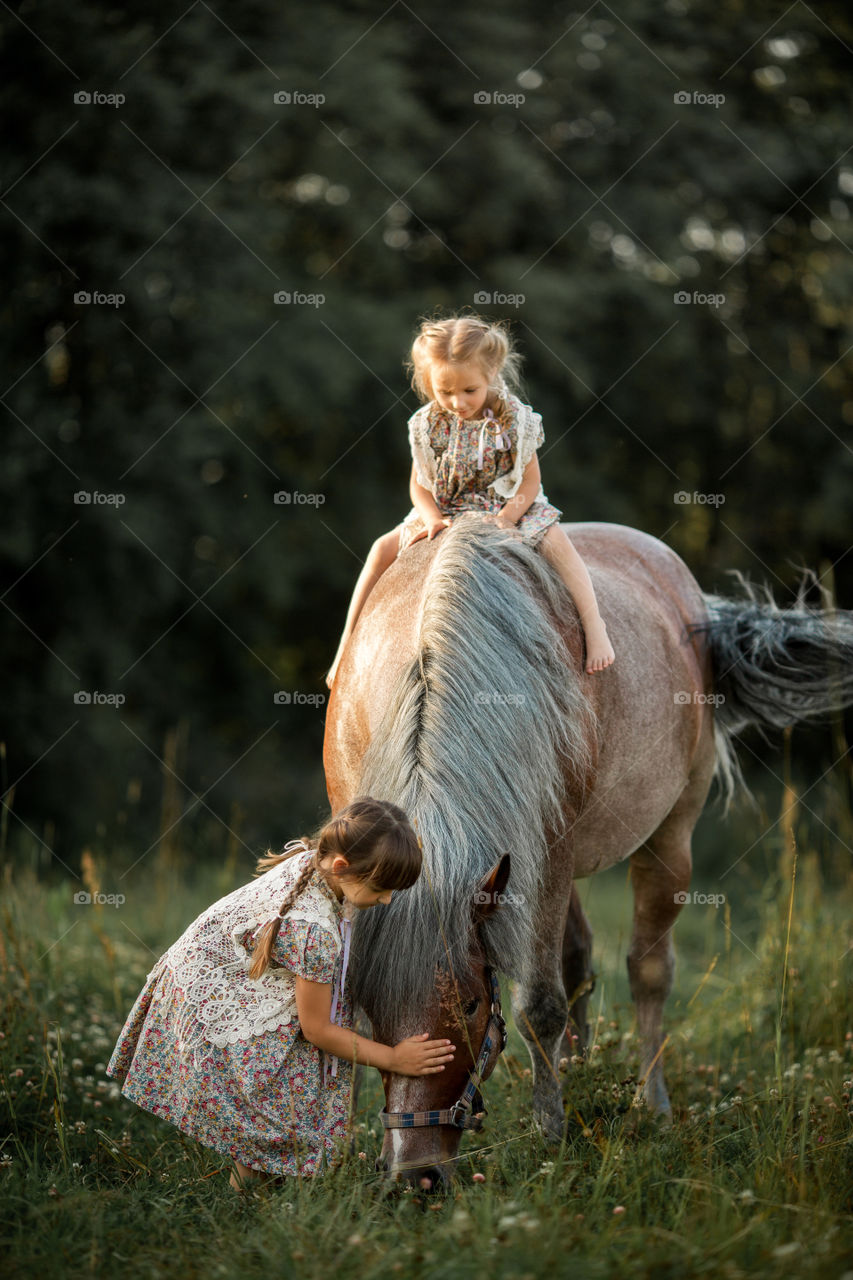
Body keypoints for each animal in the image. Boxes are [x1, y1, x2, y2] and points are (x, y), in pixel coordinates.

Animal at [320, 512, 850, 1187]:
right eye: (374, 1009)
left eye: (470, 1006)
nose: (418, 1175)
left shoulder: (546, 854)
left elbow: (538, 1007)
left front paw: (551, 1134)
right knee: (578, 962)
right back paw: (581, 1073)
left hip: (663, 840)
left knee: (647, 973)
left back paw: (652, 1104)